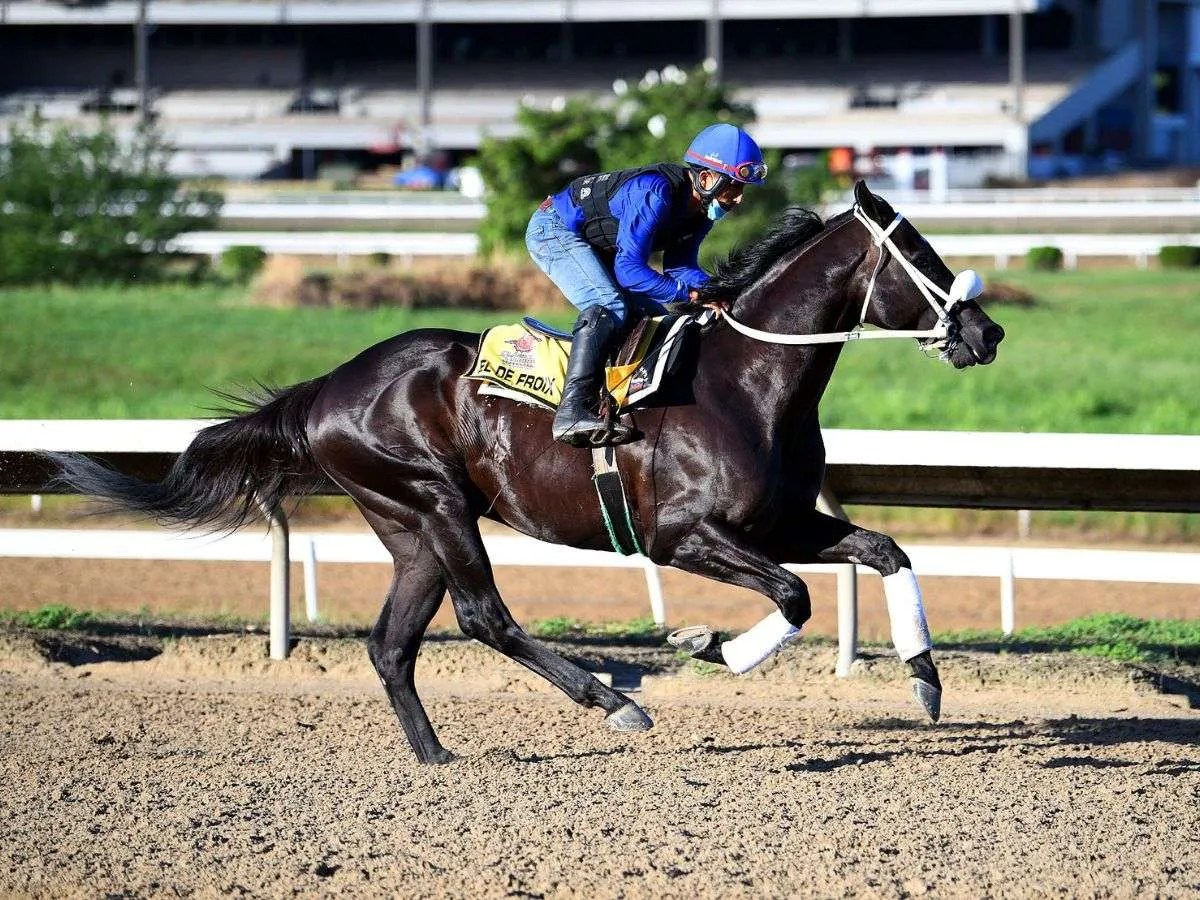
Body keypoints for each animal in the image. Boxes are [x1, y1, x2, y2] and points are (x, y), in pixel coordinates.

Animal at [49, 183, 1003, 768]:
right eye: (921, 254)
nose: (986, 332)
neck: (747, 381)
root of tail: (328, 387)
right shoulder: (683, 536)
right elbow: (795, 597)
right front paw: (710, 646)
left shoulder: (782, 522)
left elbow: (884, 551)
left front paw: (925, 680)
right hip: (434, 500)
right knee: (484, 618)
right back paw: (613, 702)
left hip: (410, 526)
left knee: (392, 643)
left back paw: (437, 754)